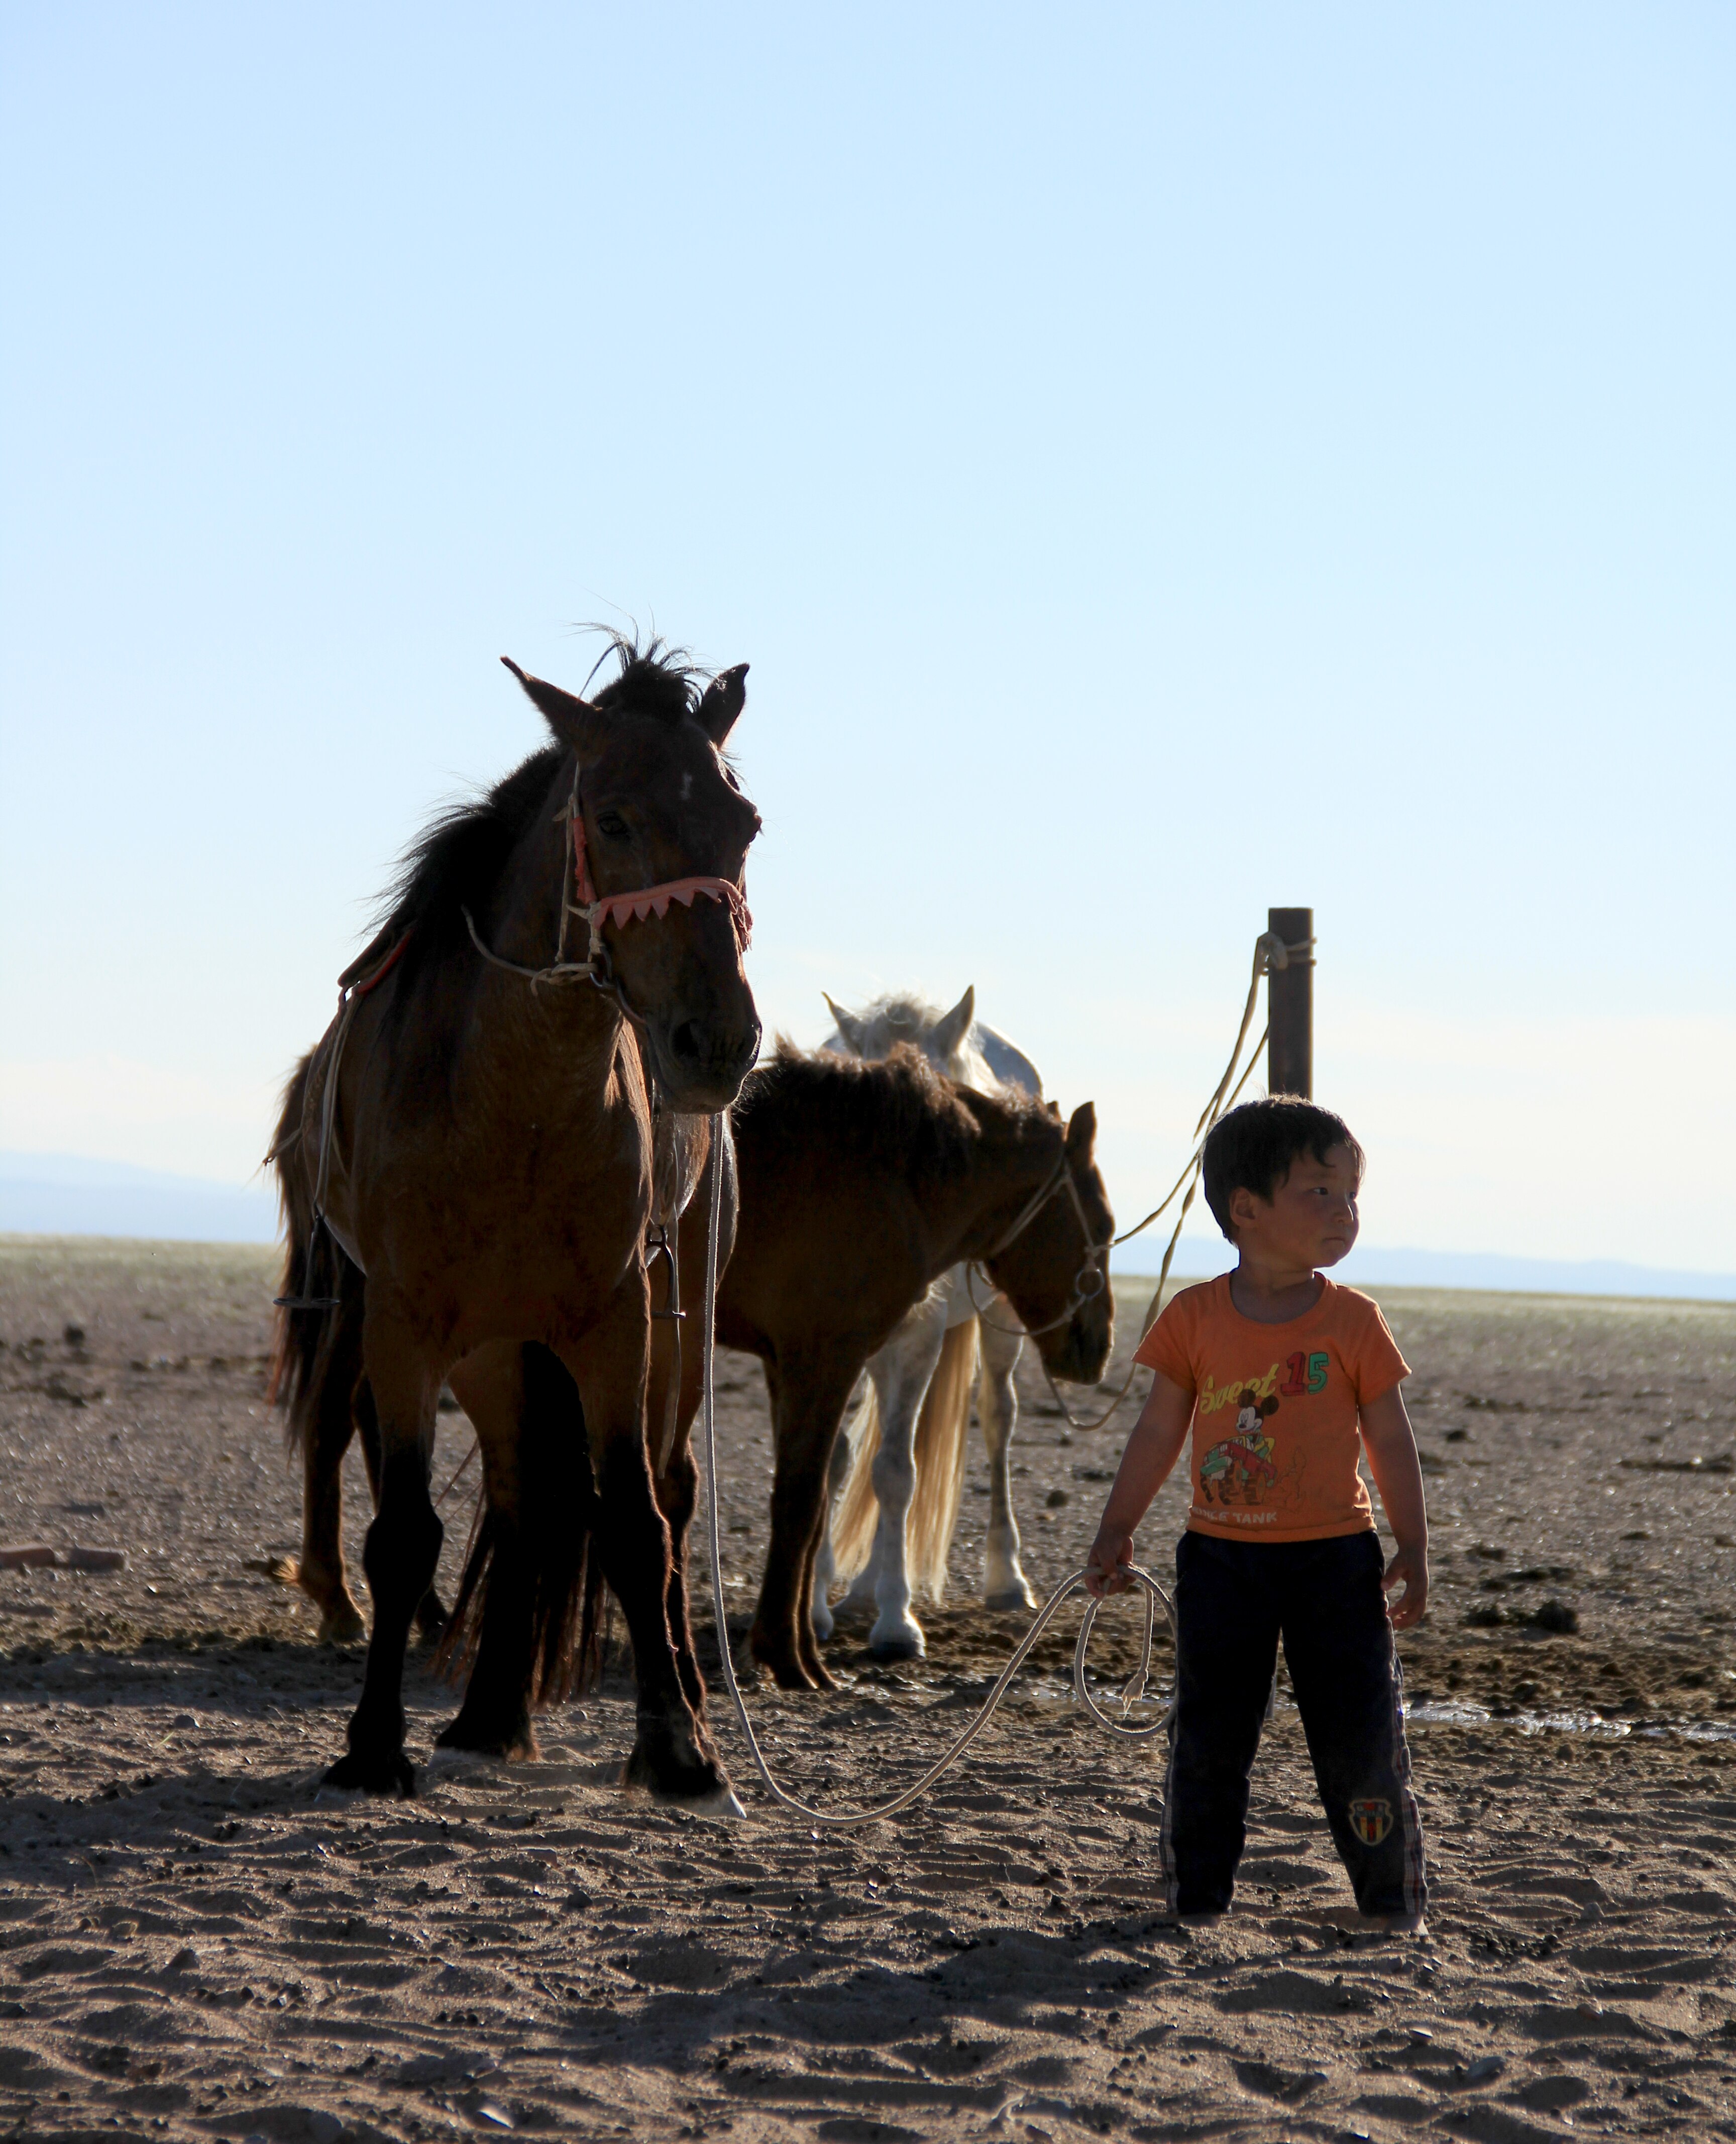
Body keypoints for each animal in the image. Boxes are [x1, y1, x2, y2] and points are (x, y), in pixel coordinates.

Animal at [266, 638, 760, 1806]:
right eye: (614, 818)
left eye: (747, 822)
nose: (716, 1043)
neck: (513, 1100)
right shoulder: (405, 1323)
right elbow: (406, 1532)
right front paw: (373, 1744)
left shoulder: (617, 1321)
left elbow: (637, 1522)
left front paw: (677, 1750)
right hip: (491, 1347)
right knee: (523, 1491)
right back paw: (491, 1711)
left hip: (669, 1326)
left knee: (667, 1492)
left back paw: (681, 1696)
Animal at [814, 985, 1046, 1658]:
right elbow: (841, 1461)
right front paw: (814, 1610)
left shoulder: (919, 1338)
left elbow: (897, 1471)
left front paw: (898, 1625)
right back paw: (865, 1587)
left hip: (995, 1321)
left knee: (994, 1420)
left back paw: (1005, 1580)